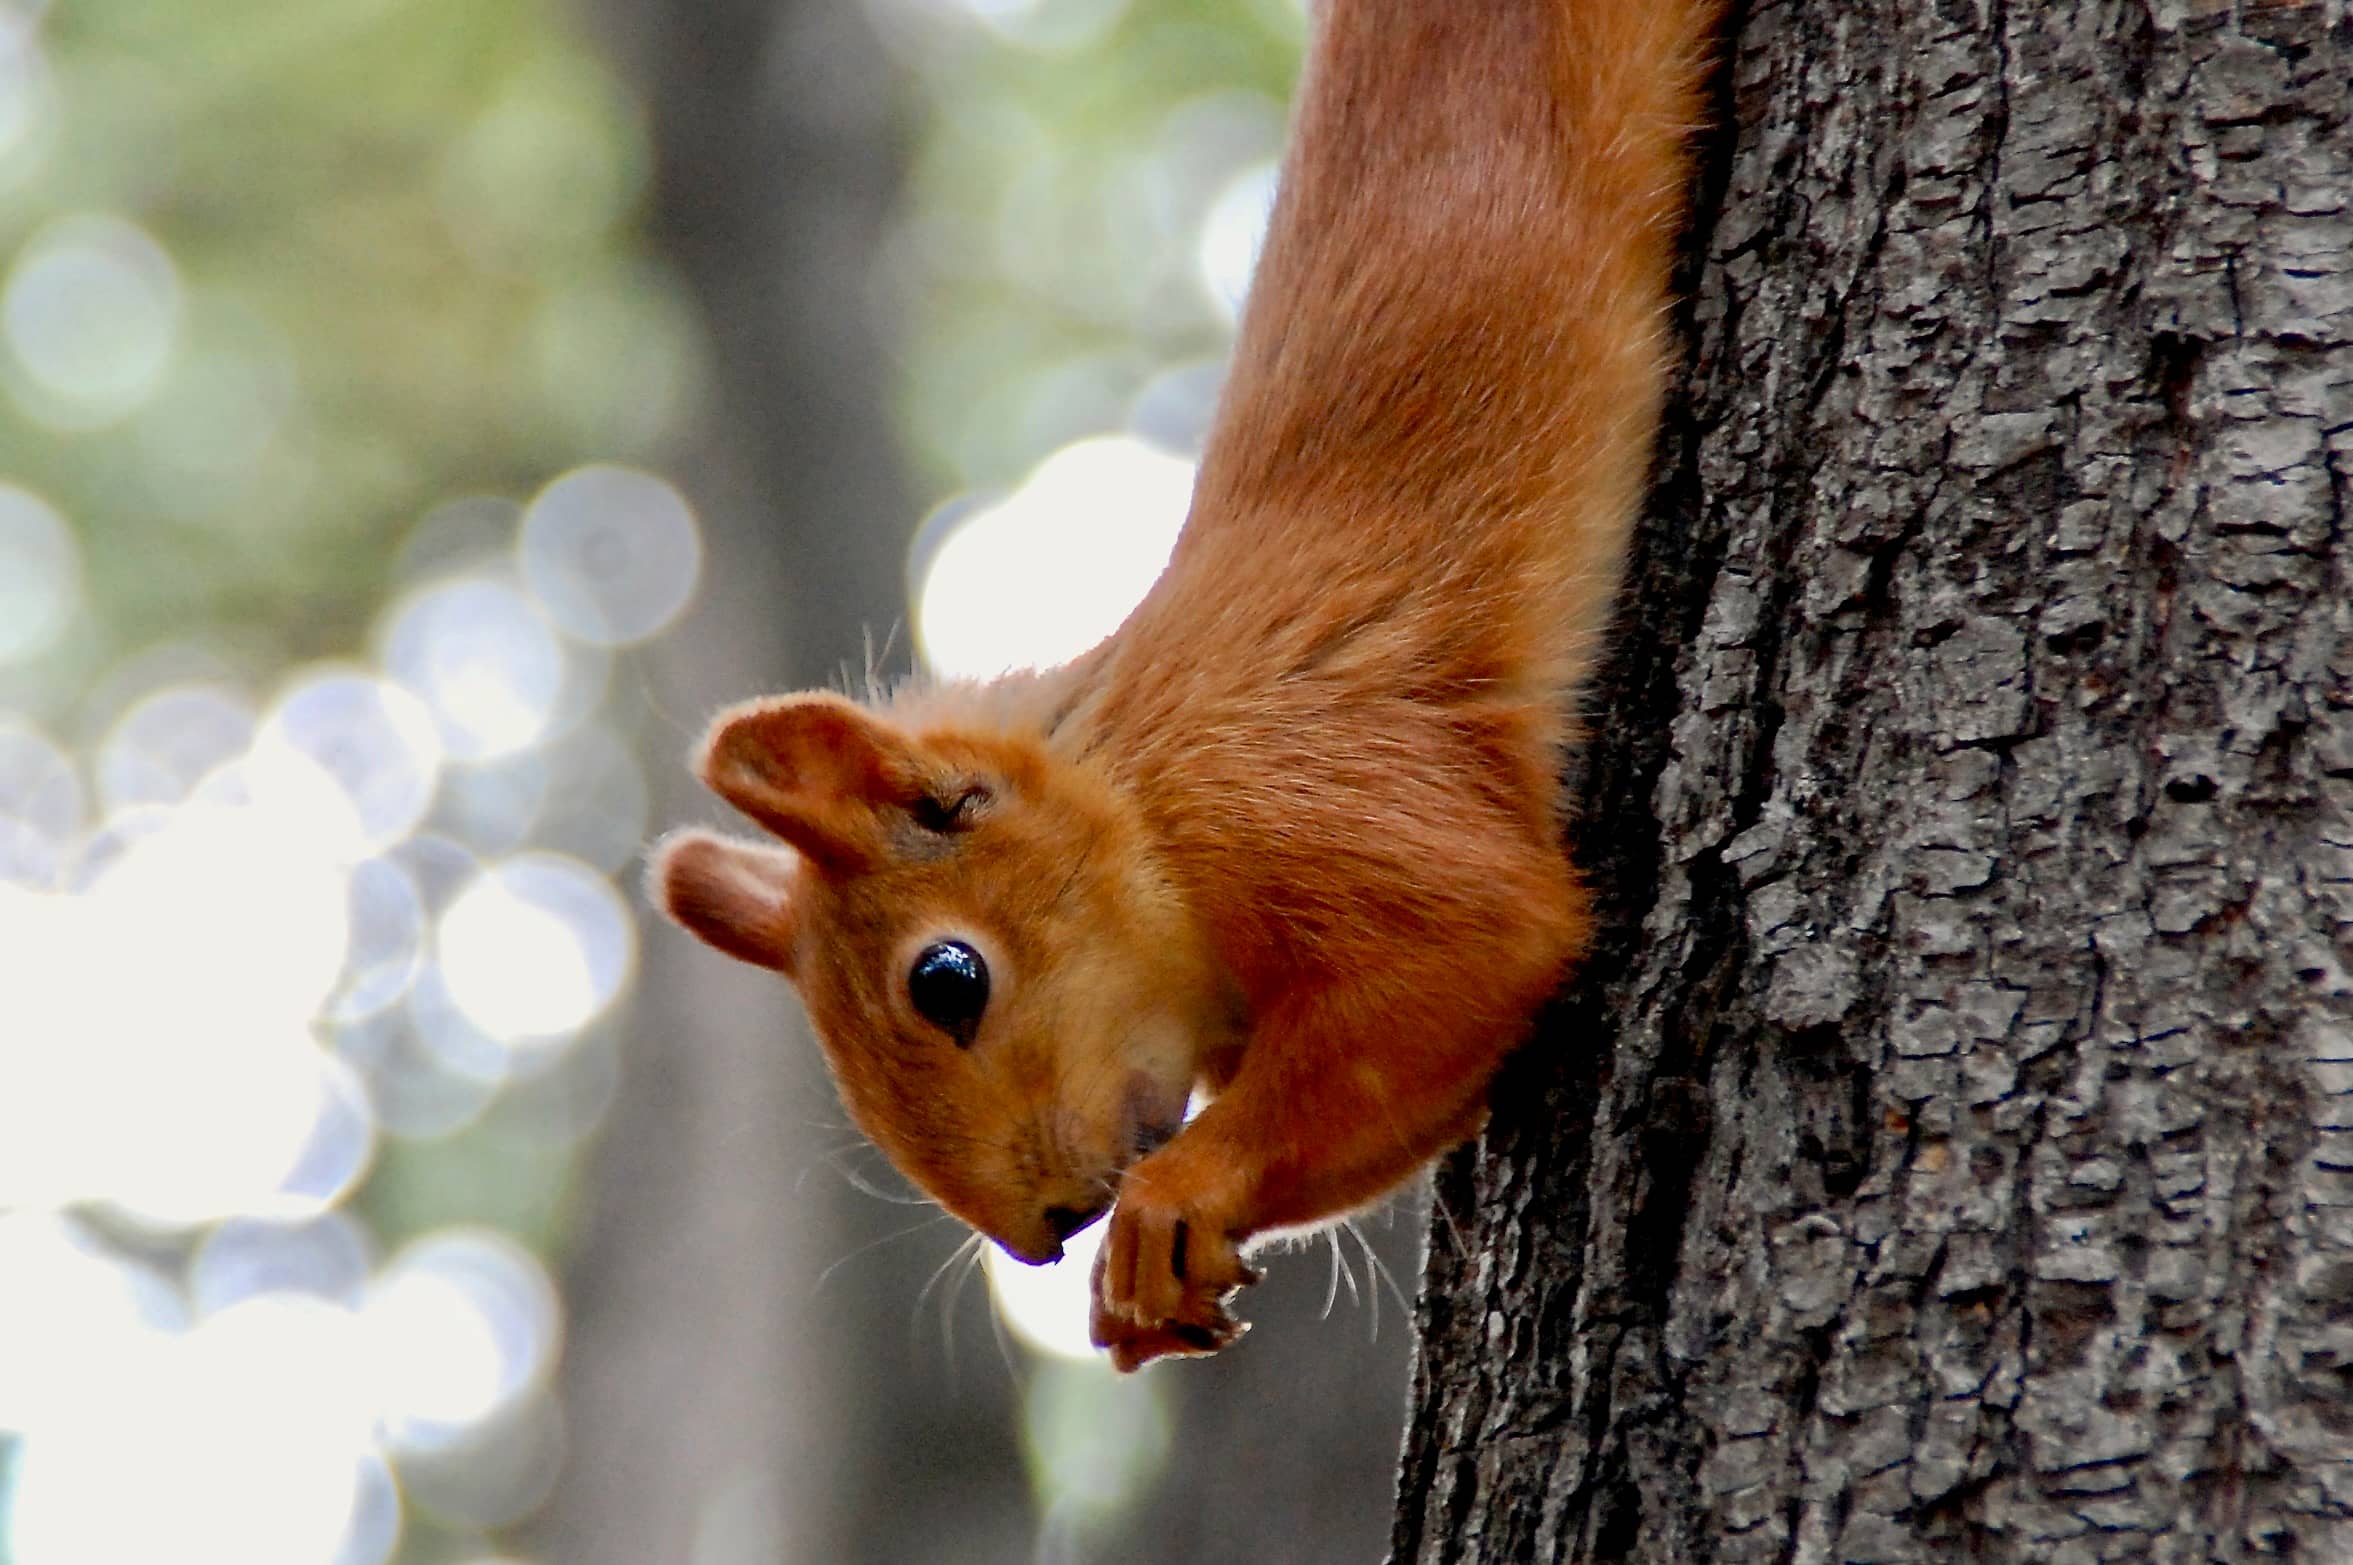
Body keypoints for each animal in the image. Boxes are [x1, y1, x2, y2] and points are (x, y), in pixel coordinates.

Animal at [654, 0, 1715, 1371]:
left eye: (948, 979)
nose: (1046, 1227)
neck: (1136, 785)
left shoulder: (1298, 781)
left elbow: (1481, 940)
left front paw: (1173, 1202)